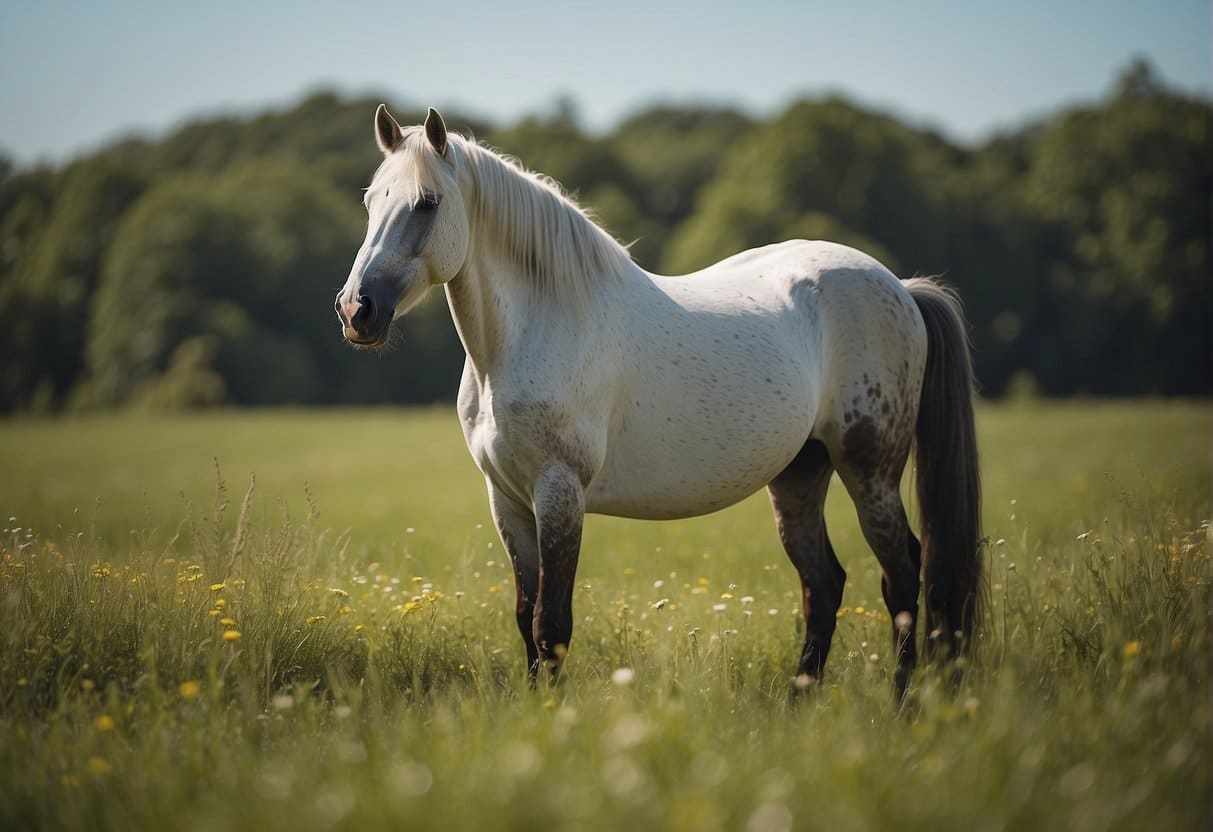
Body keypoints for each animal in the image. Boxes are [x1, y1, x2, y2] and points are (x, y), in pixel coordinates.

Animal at [337, 107, 980, 698]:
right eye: (370, 201)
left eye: (426, 203)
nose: (356, 309)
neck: (538, 328)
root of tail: (900, 287)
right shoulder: (508, 500)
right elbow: (525, 618)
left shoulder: (559, 492)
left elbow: (552, 624)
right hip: (800, 474)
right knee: (824, 586)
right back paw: (802, 702)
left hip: (870, 472)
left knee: (903, 579)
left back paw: (902, 703)